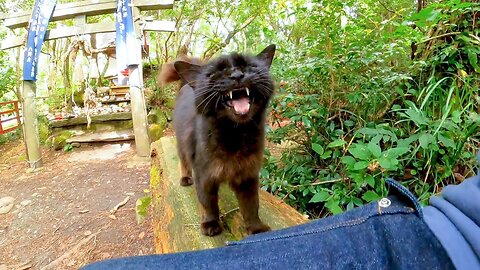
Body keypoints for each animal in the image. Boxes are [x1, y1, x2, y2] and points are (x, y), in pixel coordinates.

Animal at [161, 44, 276, 236]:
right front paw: (210, 225)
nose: (237, 75)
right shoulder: (204, 176)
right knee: (183, 162)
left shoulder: (248, 176)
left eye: (249, 66)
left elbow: (251, 206)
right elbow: (208, 204)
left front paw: (256, 228)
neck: (235, 135)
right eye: (215, 73)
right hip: (182, 146)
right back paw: (185, 179)